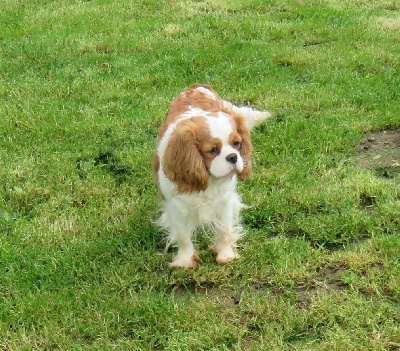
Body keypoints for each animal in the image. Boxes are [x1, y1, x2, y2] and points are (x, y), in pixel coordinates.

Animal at [152, 85, 270, 270]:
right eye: (213, 150)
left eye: (237, 143)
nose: (233, 157)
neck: (209, 180)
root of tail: (196, 86)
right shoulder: (176, 208)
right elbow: (183, 236)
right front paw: (185, 261)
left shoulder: (225, 202)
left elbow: (224, 231)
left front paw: (225, 255)